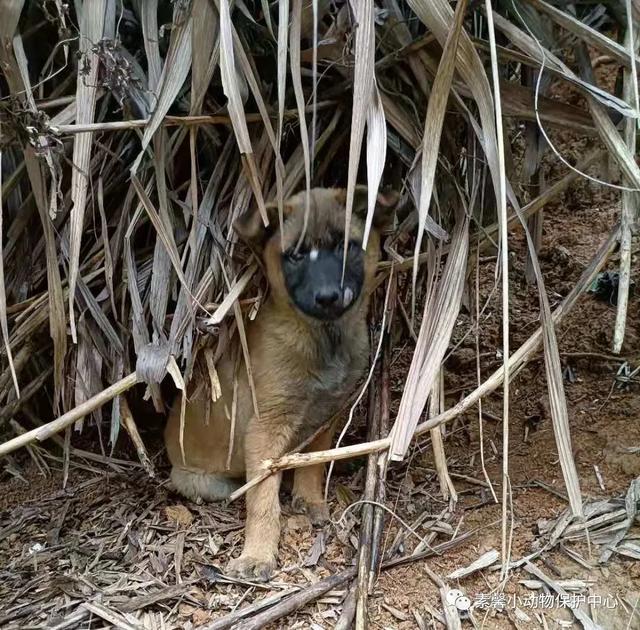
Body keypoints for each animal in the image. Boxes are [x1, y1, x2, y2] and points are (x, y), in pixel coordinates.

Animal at [164, 185, 396, 580]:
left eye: (346, 247)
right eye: (297, 255)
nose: (327, 296)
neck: (323, 339)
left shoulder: (326, 417)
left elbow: (312, 465)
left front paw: (310, 500)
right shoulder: (265, 429)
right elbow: (263, 500)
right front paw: (258, 553)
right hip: (201, 479)